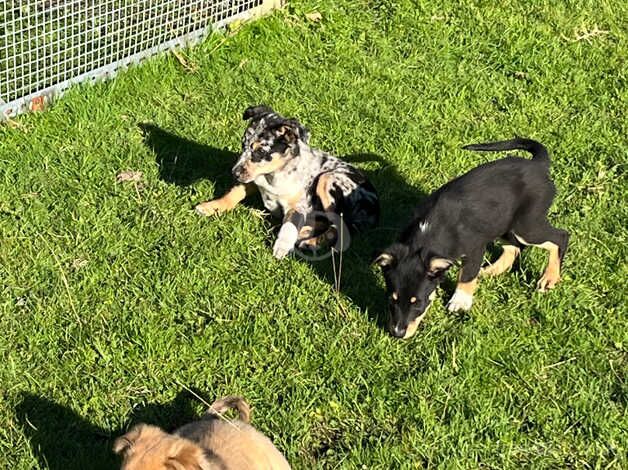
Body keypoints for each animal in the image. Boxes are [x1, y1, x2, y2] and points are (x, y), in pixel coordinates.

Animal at [195, 105, 378, 258]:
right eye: (243, 145)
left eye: (260, 151)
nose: (234, 173)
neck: (273, 175)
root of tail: (376, 209)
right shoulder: (253, 178)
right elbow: (234, 193)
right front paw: (211, 206)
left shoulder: (298, 205)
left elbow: (289, 225)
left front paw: (281, 247)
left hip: (328, 178)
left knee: (339, 227)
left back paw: (310, 242)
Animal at [376, 138, 572, 340]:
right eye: (392, 299)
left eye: (418, 302)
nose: (397, 333)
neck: (429, 232)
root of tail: (538, 165)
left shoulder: (475, 247)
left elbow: (467, 275)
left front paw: (460, 302)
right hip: (502, 222)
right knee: (513, 247)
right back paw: (491, 270)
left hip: (526, 226)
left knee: (560, 237)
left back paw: (549, 278)